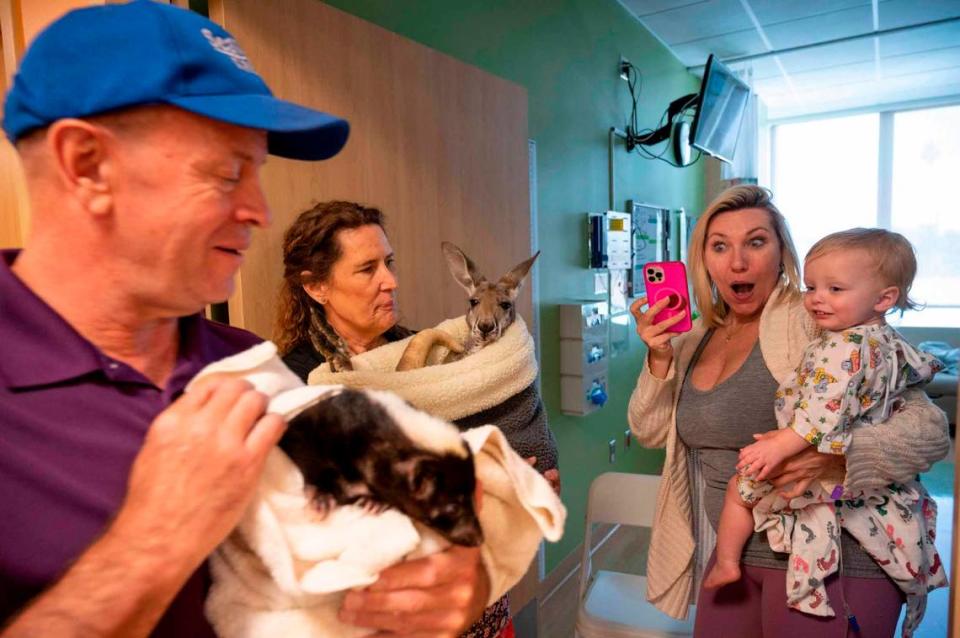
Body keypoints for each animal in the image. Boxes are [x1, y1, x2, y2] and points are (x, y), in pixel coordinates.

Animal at [282, 388, 484, 548]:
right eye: (452, 508)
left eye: (472, 496)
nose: (479, 540)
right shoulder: (308, 437)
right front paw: (320, 501)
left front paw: (375, 502)